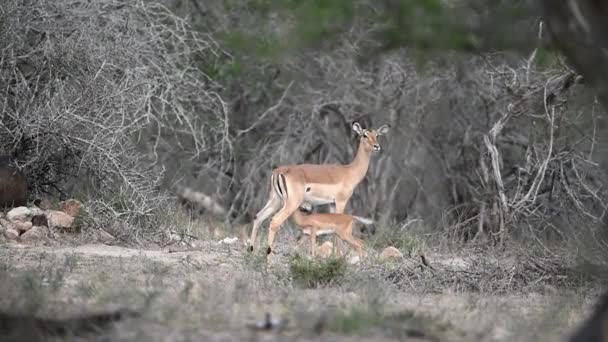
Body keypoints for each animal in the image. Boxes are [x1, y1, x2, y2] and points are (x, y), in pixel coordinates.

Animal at [247, 121, 390, 260]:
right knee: (275, 221)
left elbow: (333, 230)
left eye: (377, 135)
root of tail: (279, 171)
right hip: (291, 203)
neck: (349, 171)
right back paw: (269, 261)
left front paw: (335, 257)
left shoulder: (331, 203)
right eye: (364, 135)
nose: (376, 146)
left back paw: (252, 254)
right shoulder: (341, 201)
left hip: (275, 201)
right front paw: (339, 257)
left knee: (258, 217)